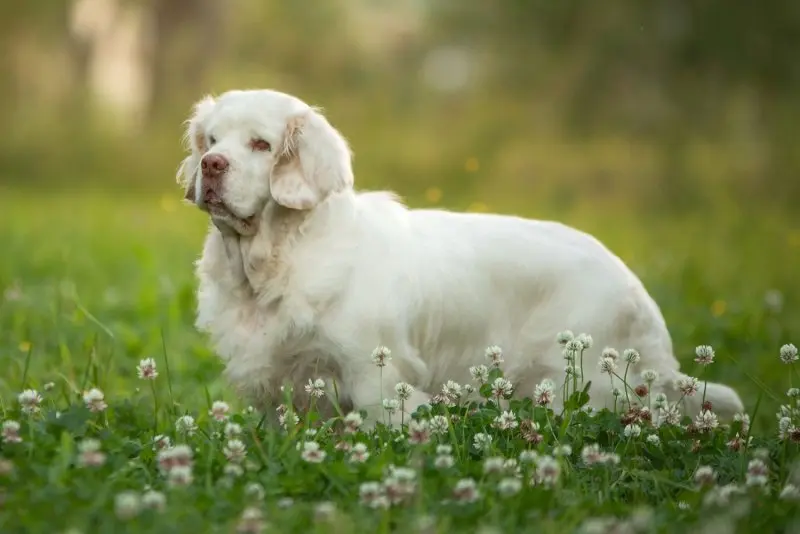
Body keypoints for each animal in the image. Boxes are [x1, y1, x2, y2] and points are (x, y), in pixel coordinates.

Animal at [175, 90, 744, 430]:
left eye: (261, 144)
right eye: (211, 139)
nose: (211, 165)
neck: (273, 261)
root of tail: (636, 289)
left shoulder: (376, 375)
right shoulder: (279, 387)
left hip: (587, 384)